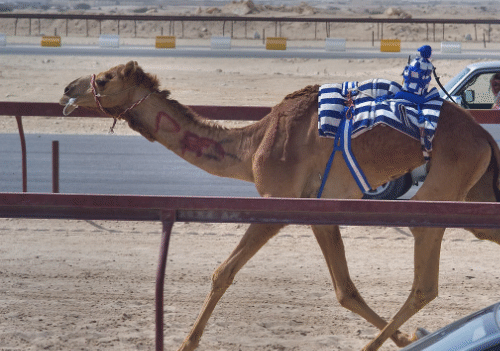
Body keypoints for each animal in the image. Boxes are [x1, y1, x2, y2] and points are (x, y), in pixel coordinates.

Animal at [61, 62, 500, 350]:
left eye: (105, 78)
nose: (67, 89)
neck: (252, 146)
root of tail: (484, 137)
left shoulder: (276, 202)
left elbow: (222, 273)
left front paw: (186, 343)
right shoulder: (319, 211)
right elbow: (345, 291)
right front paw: (409, 336)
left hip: (441, 187)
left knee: (424, 284)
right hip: (473, 193)